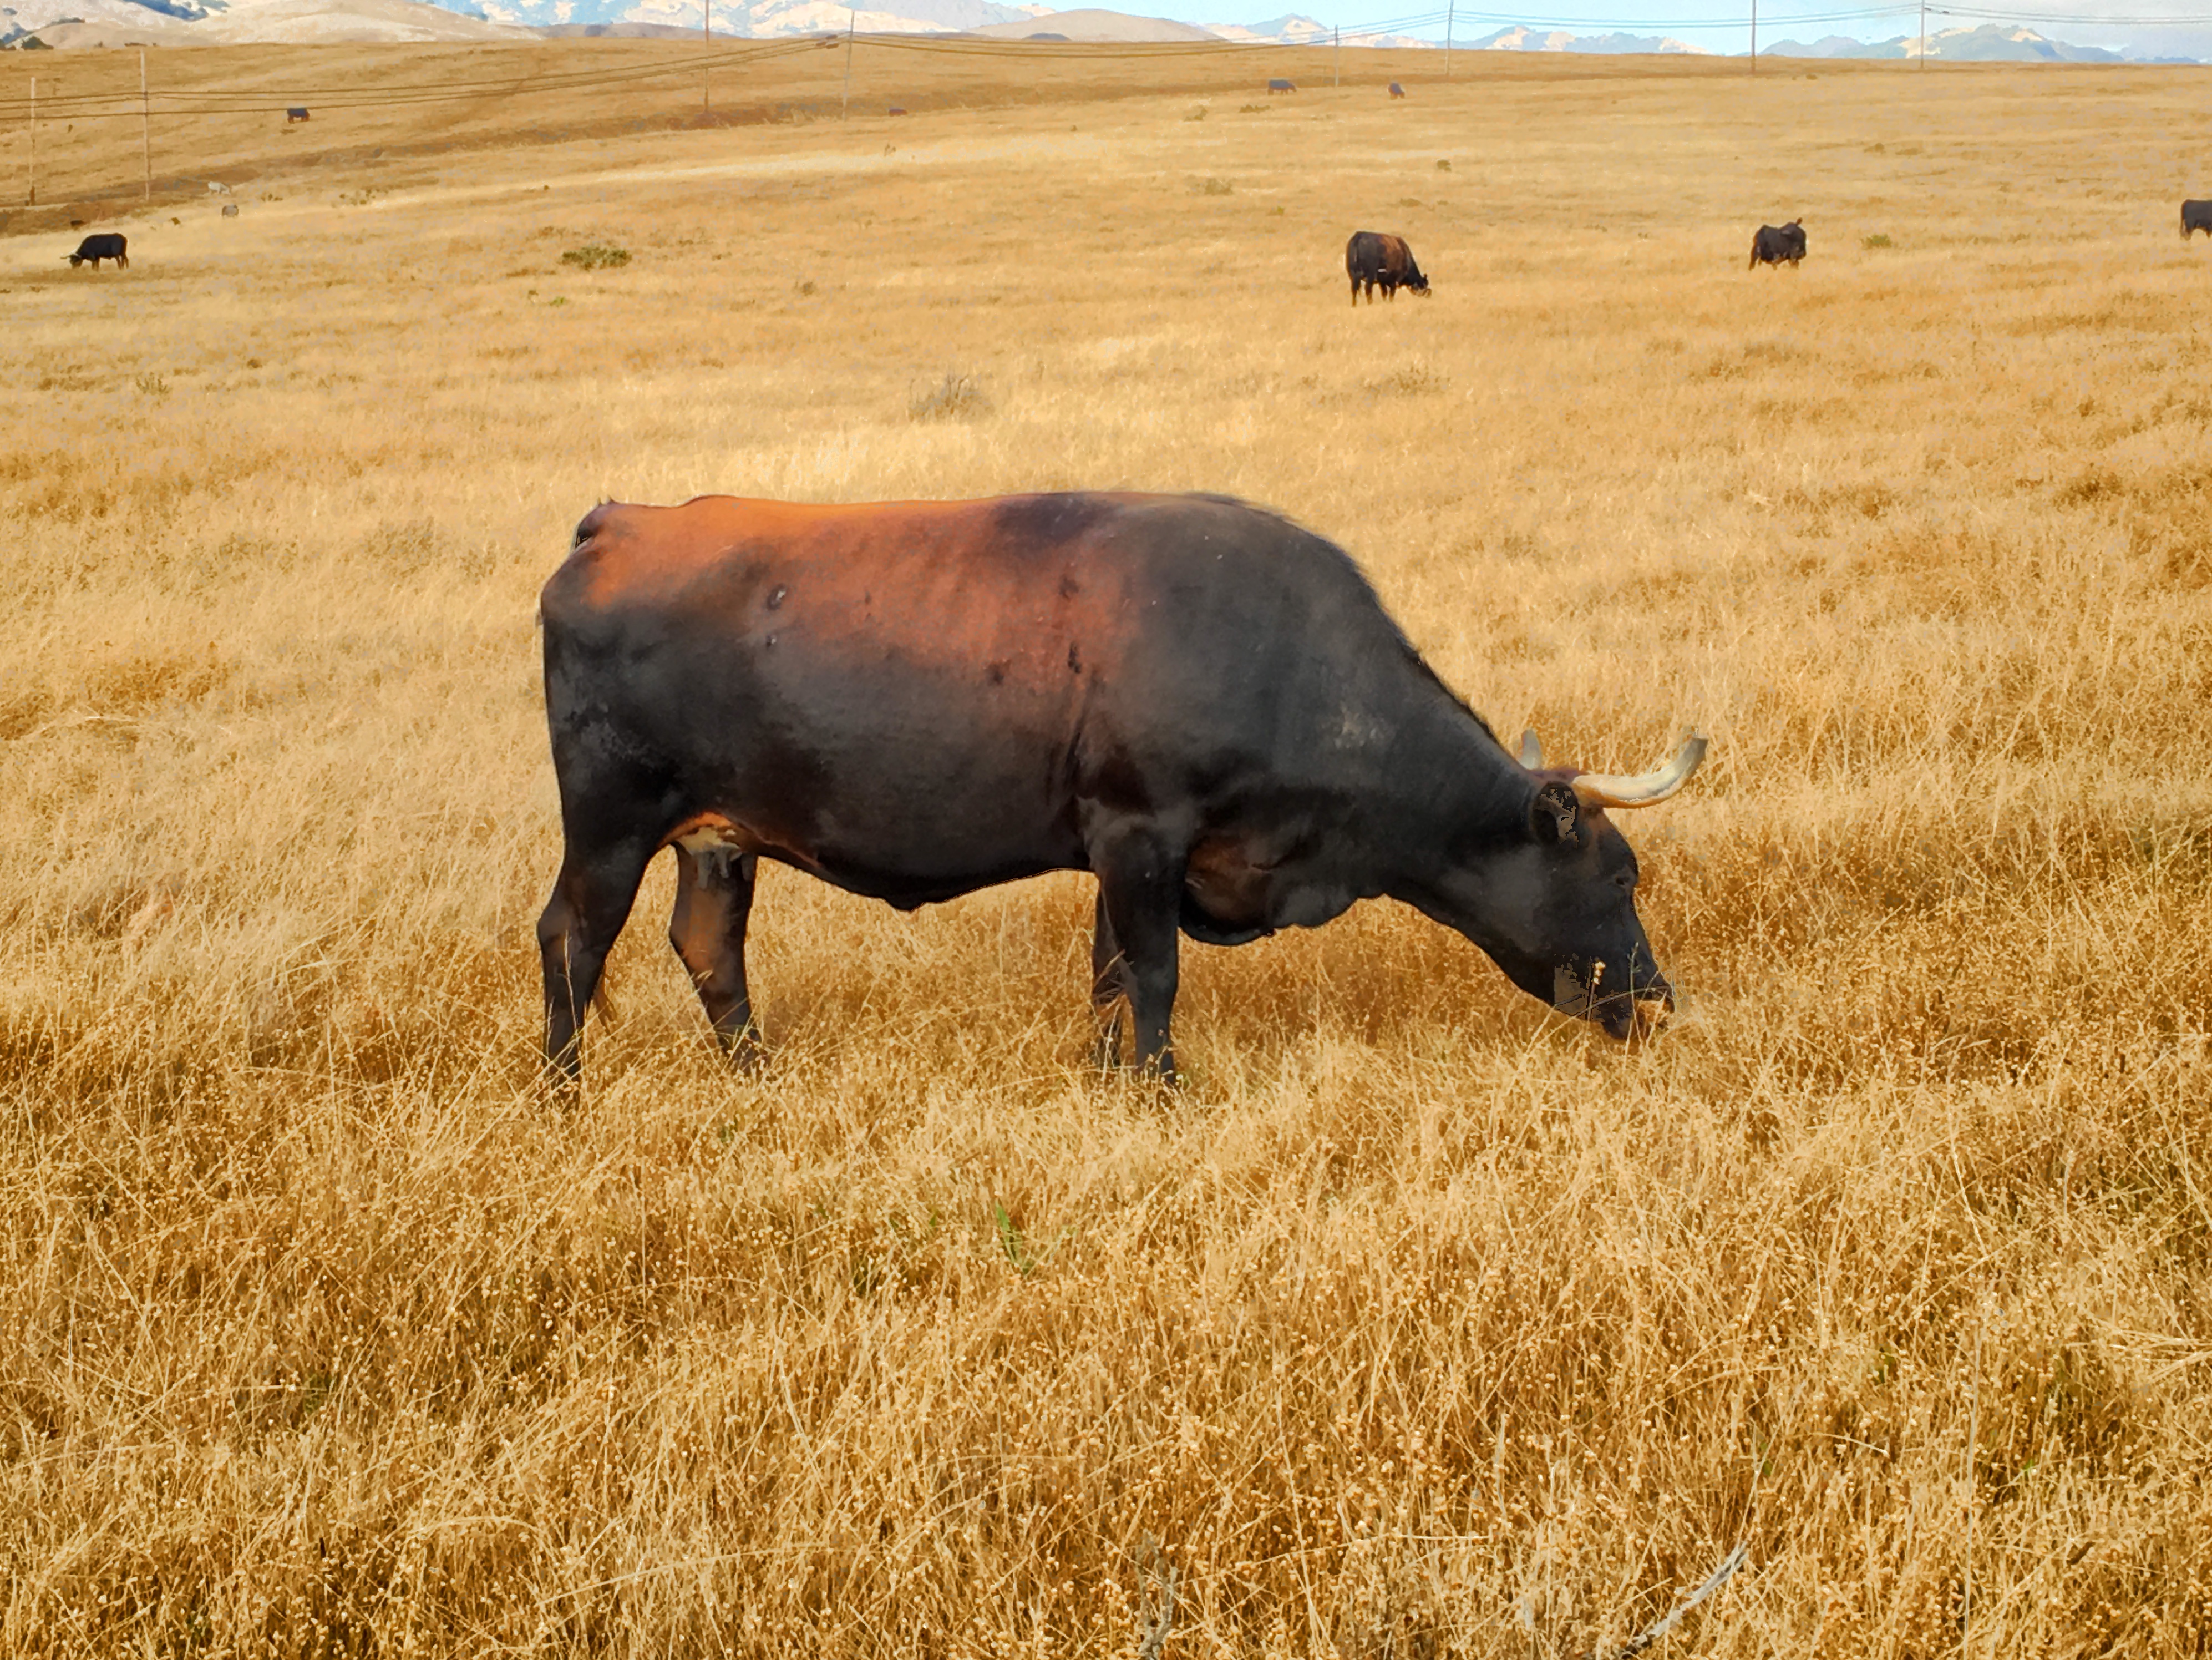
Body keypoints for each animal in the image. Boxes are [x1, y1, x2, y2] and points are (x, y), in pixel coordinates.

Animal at [535, 491, 1707, 1093]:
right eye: (1621, 876)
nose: (1659, 1000)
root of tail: (623, 520)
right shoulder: (1141, 833)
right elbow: (1151, 975)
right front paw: (1162, 1088)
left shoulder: (1115, 850)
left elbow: (1106, 976)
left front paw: (1109, 1085)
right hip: (609, 824)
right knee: (572, 938)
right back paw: (563, 1089)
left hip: (715, 837)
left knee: (708, 946)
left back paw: (756, 1076)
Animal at [1345, 229, 1433, 303]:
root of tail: (1359, 237)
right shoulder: (1393, 282)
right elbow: (1391, 295)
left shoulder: (1382, 282)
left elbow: (1384, 294)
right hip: (1370, 275)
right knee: (1368, 289)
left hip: (1353, 274)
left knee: (1354, 289)